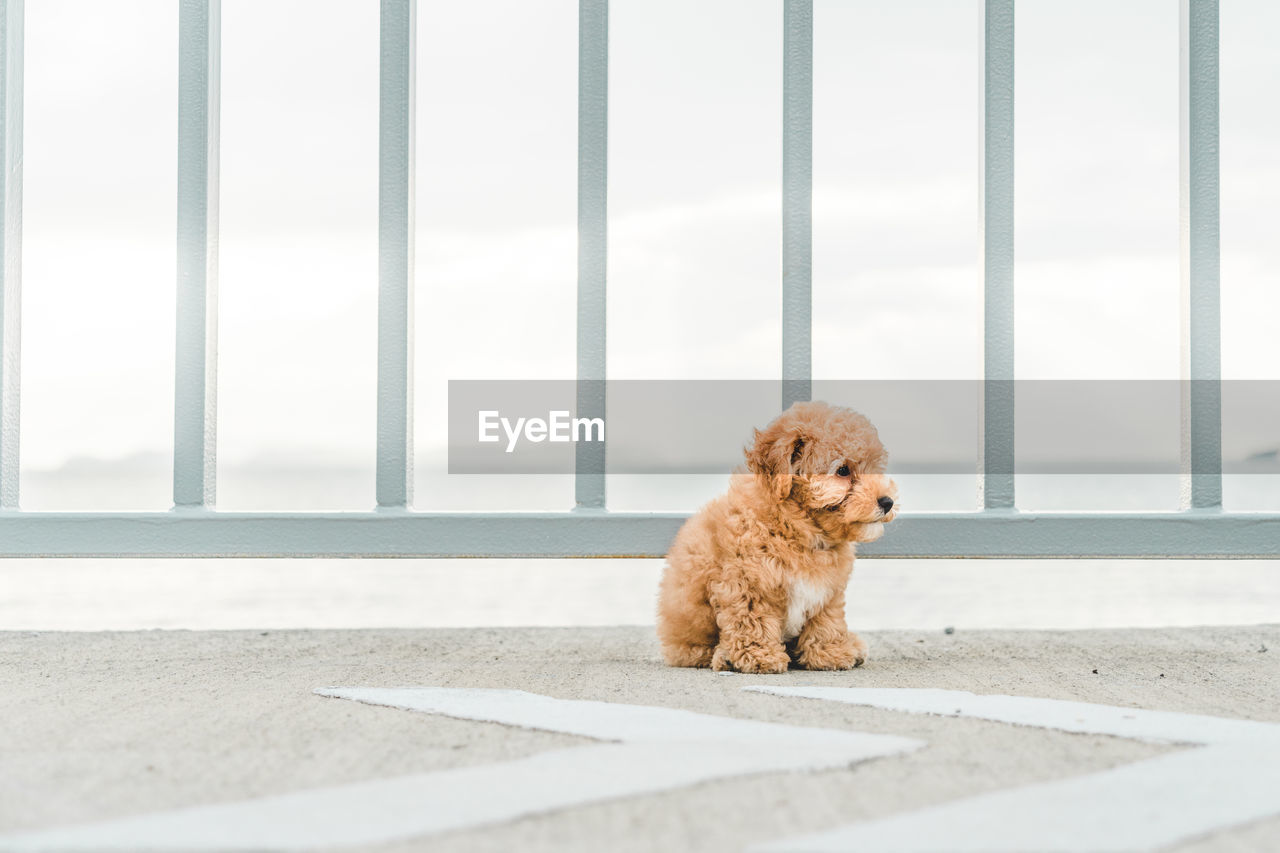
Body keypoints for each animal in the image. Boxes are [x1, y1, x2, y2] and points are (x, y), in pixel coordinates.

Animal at [660, 399, 901, 671]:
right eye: (842, 470)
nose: (888, 502)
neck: (795, 527)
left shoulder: (827, 590)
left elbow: (827, 620)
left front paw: (830, 653)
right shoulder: (747, 583)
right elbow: (751, 620)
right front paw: (758, 655)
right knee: (694, 651)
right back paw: (724, 657)